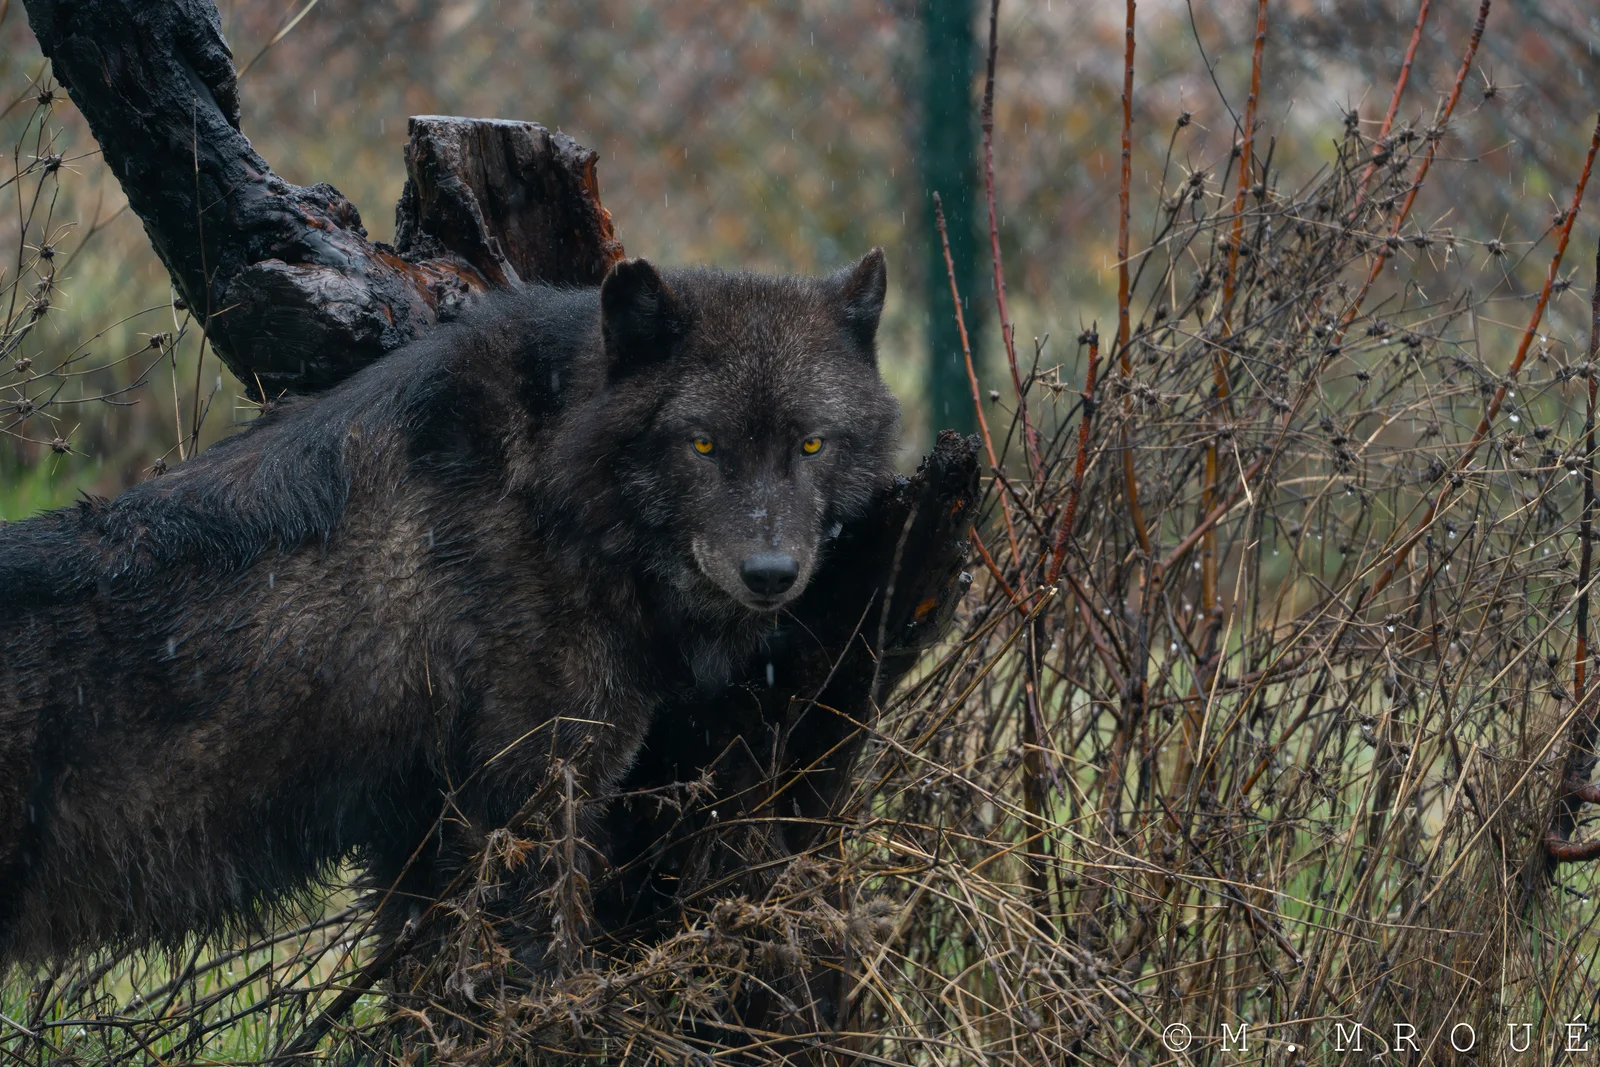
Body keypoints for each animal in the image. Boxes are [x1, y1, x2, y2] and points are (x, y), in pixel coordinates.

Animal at [0, 249, 903, 964]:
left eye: (811, 444)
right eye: (704, 444)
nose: (771, 572)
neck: (553, 486)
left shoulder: (422, 838)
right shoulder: (524, 802)